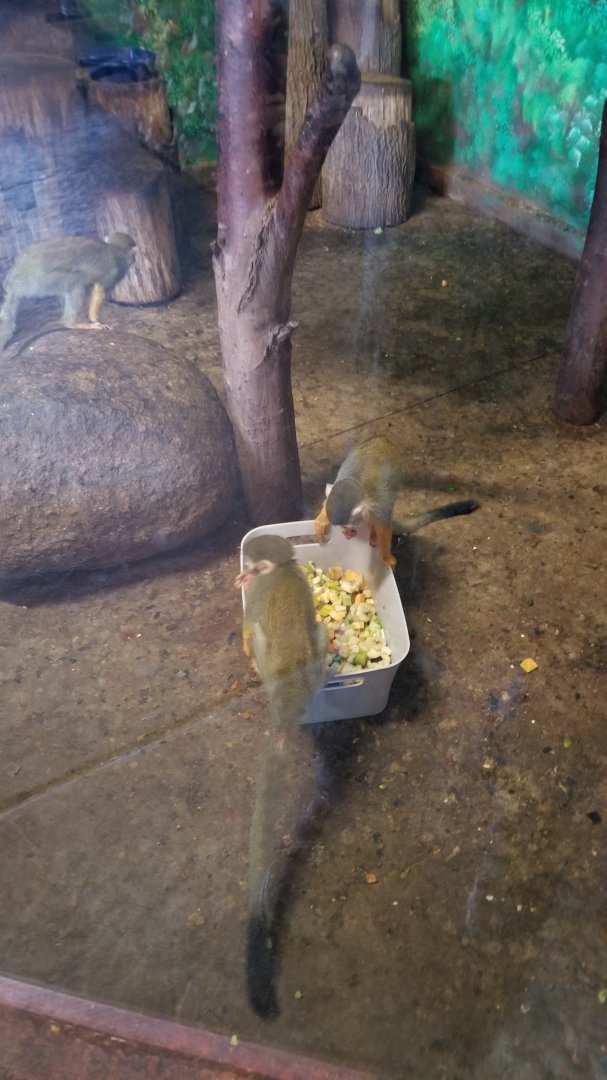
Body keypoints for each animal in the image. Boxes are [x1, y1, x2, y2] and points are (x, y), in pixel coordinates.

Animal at [0, 232, 136, 350]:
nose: (133, 260)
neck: (112, 248)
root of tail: (12, 282)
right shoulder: (113, 270)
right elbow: (99, 291)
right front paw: (95, 320)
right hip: (39, 280)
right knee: (76, 280)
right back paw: (70, 323)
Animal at [315, 436, 479, 569]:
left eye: (349, 524)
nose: (347, 529)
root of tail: (382, 439)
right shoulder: (340, 481)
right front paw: (322, 521)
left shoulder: (378, 506)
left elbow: (384, 526)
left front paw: (386, 557)